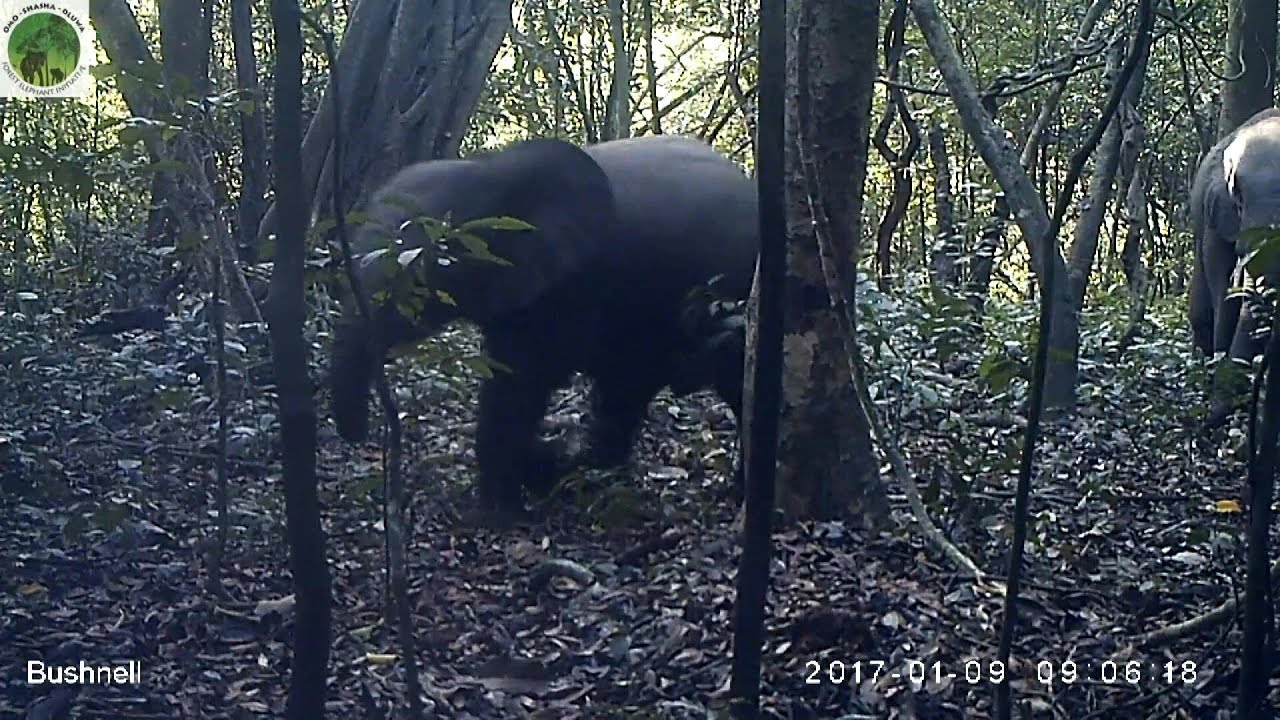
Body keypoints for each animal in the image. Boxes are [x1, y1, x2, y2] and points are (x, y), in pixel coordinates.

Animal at [329, 135, 758, 519]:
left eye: (425, 271)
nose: (362, 437)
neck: (487, 168)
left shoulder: (569, 286)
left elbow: (523, 383)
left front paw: (503, 510)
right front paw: (534, 473)